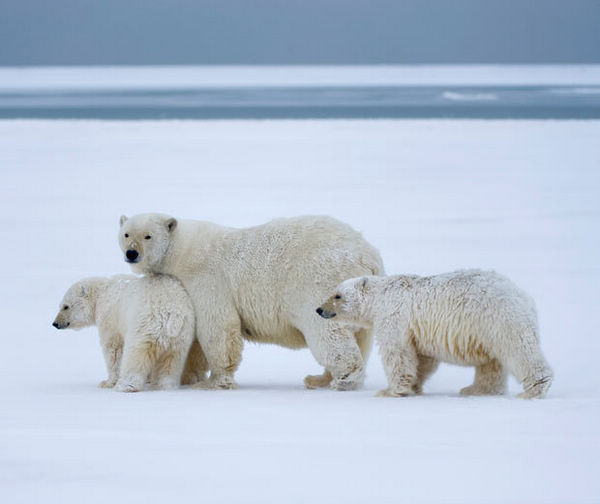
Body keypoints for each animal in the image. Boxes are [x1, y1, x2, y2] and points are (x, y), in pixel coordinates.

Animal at [52, 274, 195, 392]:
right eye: (61, 305)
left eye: (66, 306)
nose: (55, 323)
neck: (102, 293)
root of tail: (172, 314)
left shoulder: (110, 317)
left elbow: (114, 349)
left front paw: (107, 383)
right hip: (181, 335)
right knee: (172, 360)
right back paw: (163, 386)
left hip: (145, 326)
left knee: (136, 355)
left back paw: (125, 386)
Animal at [117, 213, 384, 390]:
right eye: (126, 234)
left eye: (148, 236)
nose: (132, 253)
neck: (181, 251)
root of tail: (369, 255)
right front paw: (191, 377)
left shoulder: (207, 279)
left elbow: (218, 327)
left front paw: (213, 381)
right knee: (361, 338)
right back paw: (320, 378)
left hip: (321, 282)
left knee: (327, 333)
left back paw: (340, 379)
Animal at [318, 270, 552, 400]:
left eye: (337, 295)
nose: (319, 309)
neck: (382, 296)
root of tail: (525, 298)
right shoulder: (417, 331)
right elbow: (423, 358)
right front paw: (414, 386)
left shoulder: (394, 317)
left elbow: (398, 354)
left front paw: (390, 391)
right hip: (487, 329)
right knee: (491, 364)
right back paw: (475, 389)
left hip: (500, 318)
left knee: (519, 351)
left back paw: (533, 390)